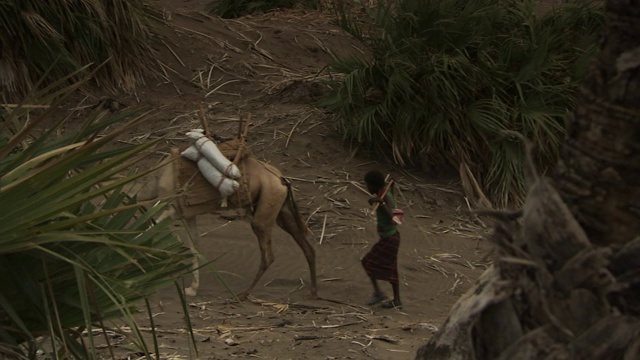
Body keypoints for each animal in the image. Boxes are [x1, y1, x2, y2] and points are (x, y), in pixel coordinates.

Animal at [153, 143, 318, 298]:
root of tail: (282, 179)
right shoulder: (187, 214)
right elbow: (194, 247)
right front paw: (192, 289)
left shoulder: (172, 207)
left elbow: (153, 227)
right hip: (283, 210)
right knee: (307, 247)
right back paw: (313, 292)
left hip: (266, 207)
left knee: (268, 254)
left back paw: (244, 294)